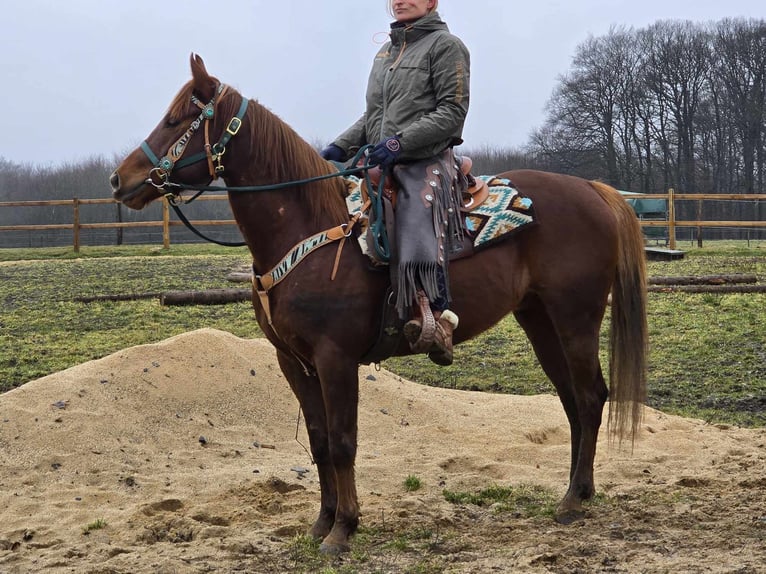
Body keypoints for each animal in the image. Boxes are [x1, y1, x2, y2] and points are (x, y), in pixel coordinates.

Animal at [108, 56, 648, 556]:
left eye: (177, 119)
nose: (119, 180)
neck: (309, 229)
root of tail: (593, 190)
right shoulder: (293, 362)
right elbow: (320, 442)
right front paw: (322, 523)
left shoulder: (335, 358)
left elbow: (343, 441)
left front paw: (343, 529)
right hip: (539, 320)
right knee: (572, 402)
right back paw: (578, 490)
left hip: (575, 318)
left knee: (590, 397)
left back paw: (574, 501)